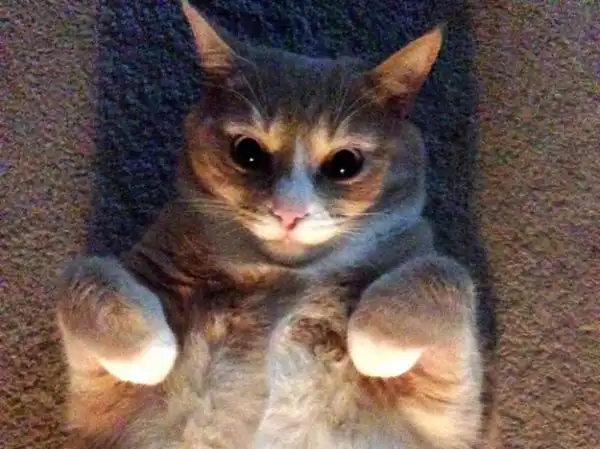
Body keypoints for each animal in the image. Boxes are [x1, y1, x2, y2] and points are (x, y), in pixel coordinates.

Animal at [55, 1, 484, 448]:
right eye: (247, 152)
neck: (286, 275)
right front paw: (151, 351)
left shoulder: (449, 410)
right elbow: (83, 275)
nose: (288, 212)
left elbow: (443, 272)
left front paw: (372, 339)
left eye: (345, 164)